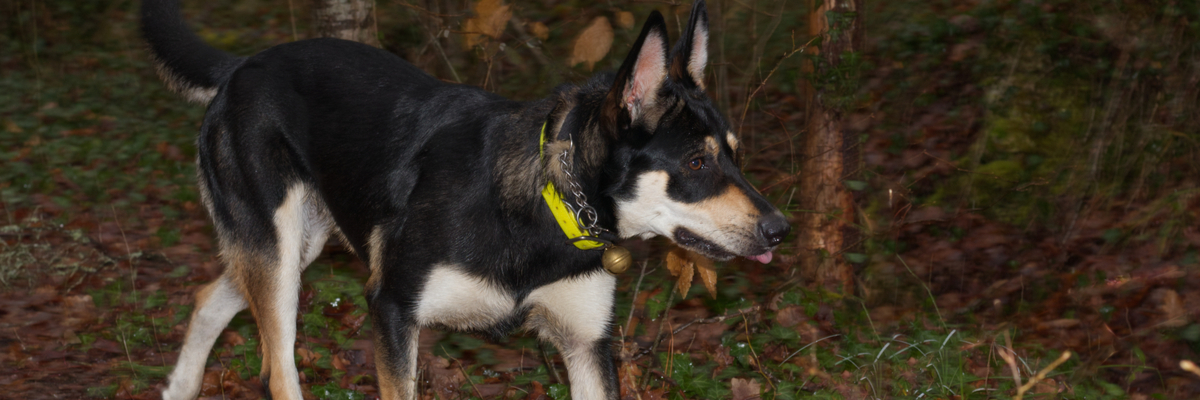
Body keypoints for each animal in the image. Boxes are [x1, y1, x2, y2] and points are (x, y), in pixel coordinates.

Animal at [142, 1, 787, 396]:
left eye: (735, 155)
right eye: (697, 163)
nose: (780, 229)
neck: (547, 209)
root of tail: (242, 66)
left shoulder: (586, 343)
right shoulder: (393, 310)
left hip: (295, 247)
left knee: (210, 297)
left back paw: (180, 385)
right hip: (278, 250)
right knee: (277, 369)